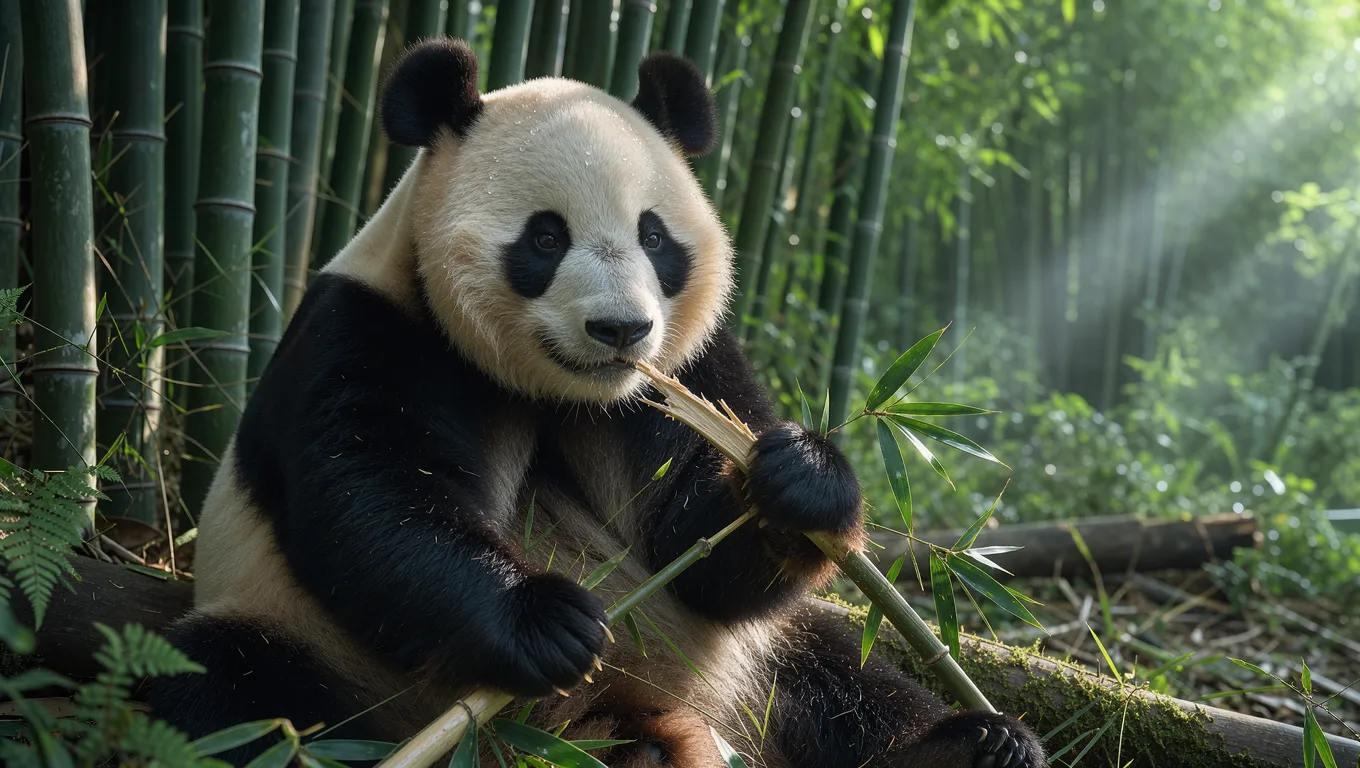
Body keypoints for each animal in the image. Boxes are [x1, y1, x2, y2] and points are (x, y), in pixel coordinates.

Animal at [151, 39, 1046, 768]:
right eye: (546, 238)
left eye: (654, 236)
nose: (621, 329)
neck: (560, 388)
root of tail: (588, 730)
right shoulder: (371, 329)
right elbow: (371, 501)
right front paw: (546, 620)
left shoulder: (680, 372)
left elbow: (701, 549)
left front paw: (799, 475)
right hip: (321, 662)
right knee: (227, 698)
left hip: (742, 676)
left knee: (837, 671)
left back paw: (973, 747)